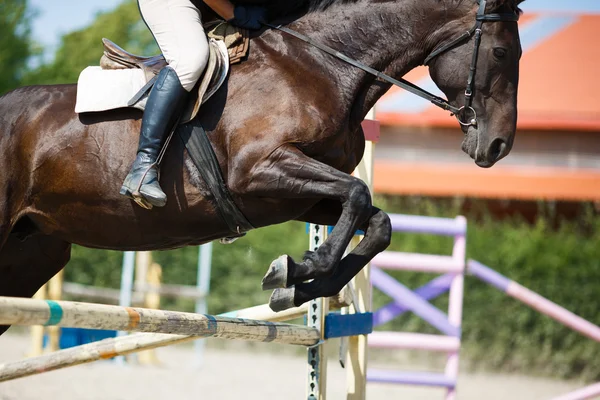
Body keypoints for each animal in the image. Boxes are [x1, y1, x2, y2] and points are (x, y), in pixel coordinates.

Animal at [0, 0, 524, 332]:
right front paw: (298, 267)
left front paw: (298, 287)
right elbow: (359, 195)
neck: (324, 66)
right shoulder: (258, 169)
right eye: (502, 51)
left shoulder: (296, 197)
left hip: (33, 253)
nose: (498, 145)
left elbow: (376, 222)